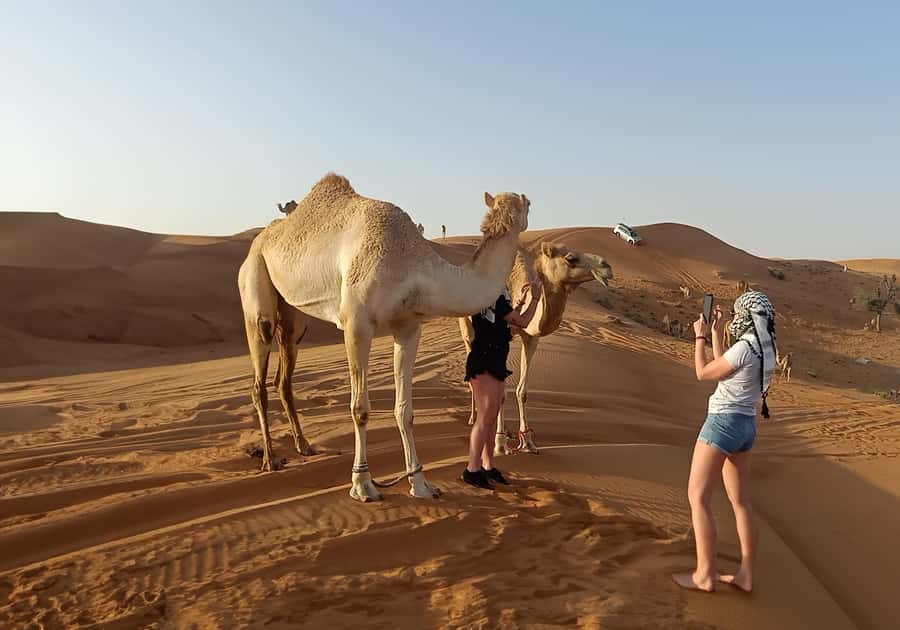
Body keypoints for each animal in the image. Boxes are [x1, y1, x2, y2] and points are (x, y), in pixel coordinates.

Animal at [239, 173, 531, 502]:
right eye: (529, 204)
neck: (414, 265)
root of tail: (262, 238)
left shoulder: (408, 326)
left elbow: (405, 411)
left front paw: (420, 483)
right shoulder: (356, 324)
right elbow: (360, 409)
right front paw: (362, 483)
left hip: (293, 316)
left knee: (284, 371)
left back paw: (303, 445)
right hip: (255, 282)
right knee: (259, 369)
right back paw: (270, 459)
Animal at [458, 241, 613, 454]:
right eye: (571, 258)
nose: (607, 266)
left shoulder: (531, 337)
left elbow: (522, 391)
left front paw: (528, 441)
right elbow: (502, 393)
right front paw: (499, 443)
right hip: (468, 332)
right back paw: (474, 418)